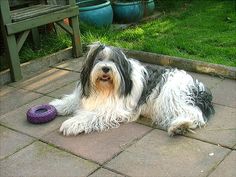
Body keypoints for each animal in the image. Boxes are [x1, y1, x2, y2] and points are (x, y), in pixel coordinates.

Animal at [50, 42, 215, 136]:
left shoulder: (116, 109)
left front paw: (72, 123)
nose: (105, 68)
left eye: (113, 61)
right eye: (99, 59)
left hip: (170, 95)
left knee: (195, 114)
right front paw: (56, 106)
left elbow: (92, 115)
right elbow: (72, 100)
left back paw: (180, 126)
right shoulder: (85, 94)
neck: (104, 88)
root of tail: (199, 88)